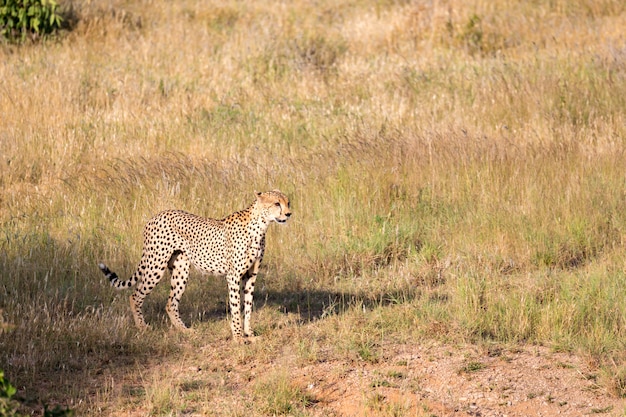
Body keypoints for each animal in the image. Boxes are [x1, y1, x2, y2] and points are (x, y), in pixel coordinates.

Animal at [98, 190, 292, 340]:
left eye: (288, 202)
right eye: (277, 203)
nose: (289, 214)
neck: (260, 225)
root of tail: (156, 216)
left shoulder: (251, 275)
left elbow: (248, 305)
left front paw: (249, 333)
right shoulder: (234, 276)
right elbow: (236, 307)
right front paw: (238, 336)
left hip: (180, 269)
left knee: (171, 303)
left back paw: (185, 330)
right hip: (155, 265)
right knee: (135, 296)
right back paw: (143, 328)